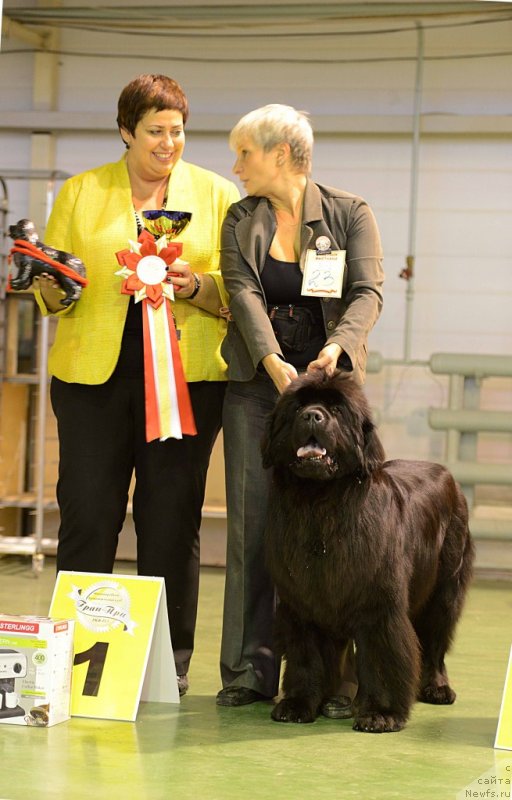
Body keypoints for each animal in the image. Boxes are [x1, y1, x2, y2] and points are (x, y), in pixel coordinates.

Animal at [262, 368, 474, 732]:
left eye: (336, 409)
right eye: (297, 407)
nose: (312, 416)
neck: (320, 504)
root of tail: (449, 476)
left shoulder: (378, 607)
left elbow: (383, 656)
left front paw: (381, 713)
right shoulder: (302, 604)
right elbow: (306, 656)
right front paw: (298, 703)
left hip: (445, 590)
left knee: (434, 642)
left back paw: (436, 688)